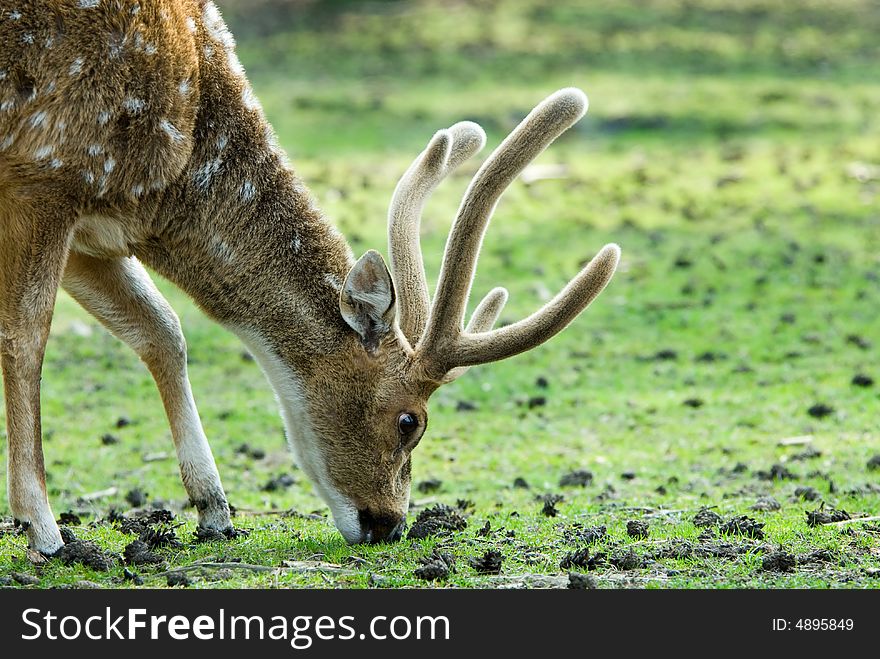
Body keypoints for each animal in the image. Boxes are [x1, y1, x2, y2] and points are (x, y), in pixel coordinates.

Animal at [1, 1, 620, 556]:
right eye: (409, 422)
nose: (388, 524)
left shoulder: (90, 231)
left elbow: (161, 330)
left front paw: (214, 512)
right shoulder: (45, 173)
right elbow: (25, 340)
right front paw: (43, 531)